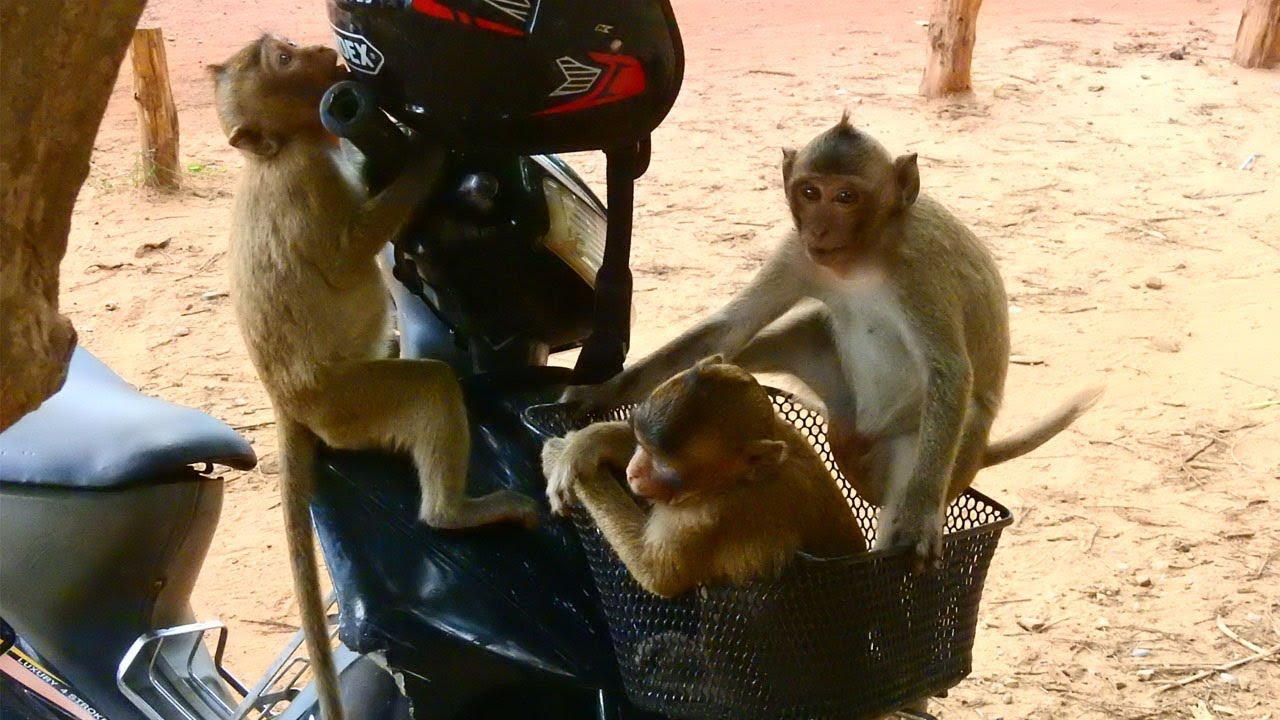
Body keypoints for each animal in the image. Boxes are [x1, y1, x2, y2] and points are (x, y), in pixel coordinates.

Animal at [209, 35, 539, 720]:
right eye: (284, 62)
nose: (316, 50)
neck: (285, 147)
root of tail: (287, 404)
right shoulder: (305, 181)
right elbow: (346, 255)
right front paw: (427, 157)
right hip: (349, 404)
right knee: (430, 385)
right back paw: (451, 515)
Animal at [542, 355, 867, 599]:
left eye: (664, 466)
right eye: (643, 446)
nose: (633, 472)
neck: (730, 480)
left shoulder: (711, 516)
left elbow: (656, 574)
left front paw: (560, 455)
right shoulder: (781, 430)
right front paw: (585, 445)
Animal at [561, 114, 1102, 573]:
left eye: (846, 196)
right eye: (809, 191)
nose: (820, 227)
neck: (862, 256)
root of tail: (855, 437)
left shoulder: (919, 269)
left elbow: (949, 371)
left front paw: (919, 521)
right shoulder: (796, 251)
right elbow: (730, 326)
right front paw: (599, 395)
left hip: (930, 454)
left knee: (953, 422)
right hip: (837, 389)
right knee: (779, 337)